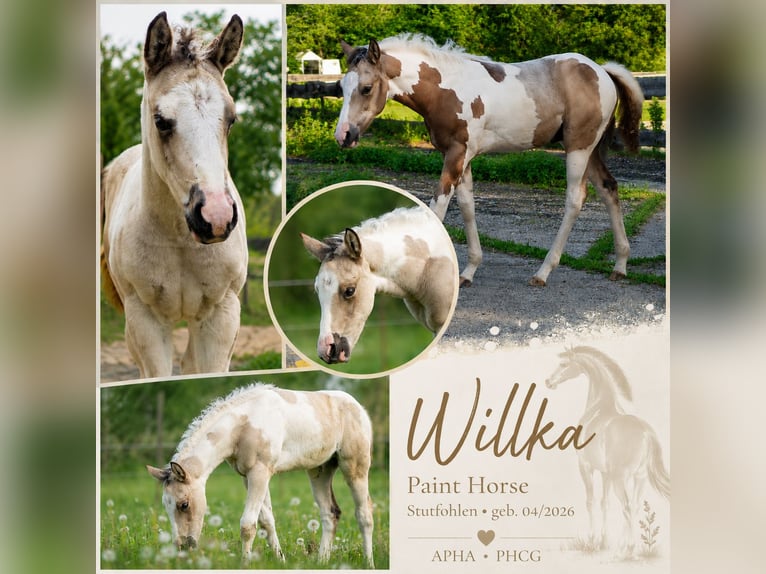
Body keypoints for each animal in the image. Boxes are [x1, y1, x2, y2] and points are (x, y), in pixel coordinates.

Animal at [101, 12, 248, 378]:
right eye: (161, 121)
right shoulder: (145, 321)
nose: (216, 217)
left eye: (231, 119)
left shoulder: (222, 315)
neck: (181, 241)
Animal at [146, 383, 375, 567]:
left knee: (364, 514)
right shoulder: (248, 476)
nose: (182, 547)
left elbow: (248, 524)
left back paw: (368, 563)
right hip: (320, 470)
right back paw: (321, 561)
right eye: (165, 505)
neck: (244, 425)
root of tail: (359, 408)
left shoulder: (260, 472)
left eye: (183, 504)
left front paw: (245, 564)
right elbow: (266, 521)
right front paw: (280, 560)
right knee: (330, 514)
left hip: (355, 467)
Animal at [335, 35, 644, 287]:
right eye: (340, 87)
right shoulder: (460, 157)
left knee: (575, 199)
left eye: (366, 87)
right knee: (609, 188)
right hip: (590, 151)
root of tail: (601, 71)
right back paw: (620, 265)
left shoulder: (457, 153)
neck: (446, 88)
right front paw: (468, 271)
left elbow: (438, 207)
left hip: (578, 148)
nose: (343, 136)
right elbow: (467, 206)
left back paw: (543, 272)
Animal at [545, 346, 670, 557]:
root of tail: (645, 432)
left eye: (563, 364)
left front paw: (592, 540)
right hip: (639, 477)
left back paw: (628, 548)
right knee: (634, 506)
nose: (548, 381)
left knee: (627, 507)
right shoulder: (605, 474)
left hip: (621, 477)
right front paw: (603, 541)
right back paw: (624, 546)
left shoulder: (586, 467)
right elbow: (605, 503)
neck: (599, 408)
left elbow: (590, 502)